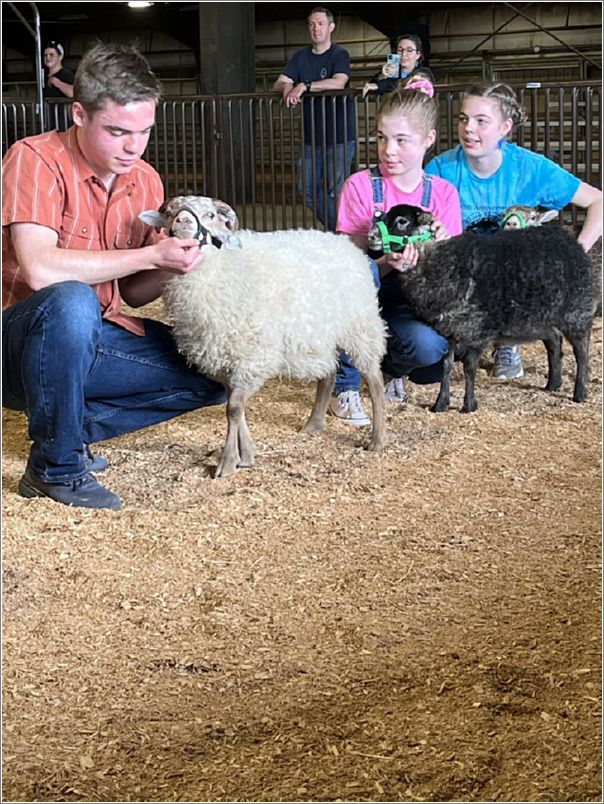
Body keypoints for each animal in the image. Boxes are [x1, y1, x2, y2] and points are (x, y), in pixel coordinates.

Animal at [139, 199, 386, 478]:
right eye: (171, 213)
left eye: (210, 214)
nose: (183, 221)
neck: (220, 271)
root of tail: (344, 243)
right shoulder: (225, 359)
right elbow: (234, 406)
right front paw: (245, 454)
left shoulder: (252, 357)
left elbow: (233, 408)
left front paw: (228, 463)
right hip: (318, 332)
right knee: (329, 373)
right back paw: (313, 424)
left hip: (360, 326)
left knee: (374, 379)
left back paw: (377, 440)